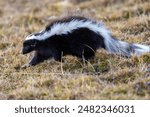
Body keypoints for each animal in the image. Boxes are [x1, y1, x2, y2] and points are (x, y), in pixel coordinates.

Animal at [21, 16, 149, 66]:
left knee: (88, 52)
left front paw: (62, 62)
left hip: (84, 43)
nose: (21, 52)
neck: (43, 37)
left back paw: (84, 60)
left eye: (26, 46)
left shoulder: (53, 45)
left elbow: (57, 55)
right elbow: (38, 58)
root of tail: (101, 34)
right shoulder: (43, 49)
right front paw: (27, 65)